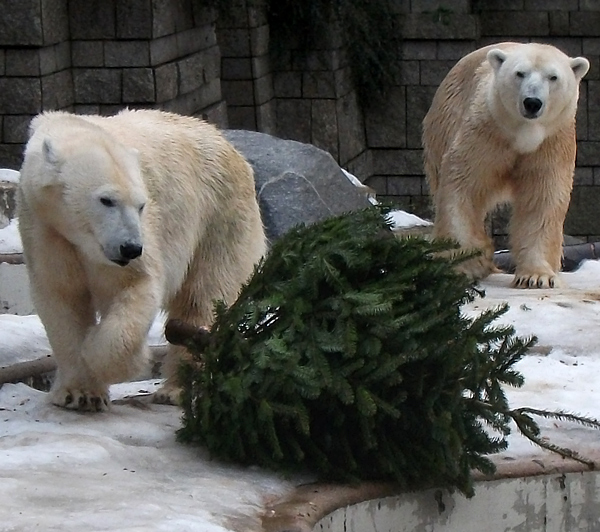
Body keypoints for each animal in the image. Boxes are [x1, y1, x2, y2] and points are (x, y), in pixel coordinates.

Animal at [17, 109, 266, 412]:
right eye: (106, 200)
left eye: (141, 204)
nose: (130, 248)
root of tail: (232, 150)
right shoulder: (46, 229)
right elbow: (62, 297)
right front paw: (80, 393)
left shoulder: (143, 235)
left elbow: (136, 285)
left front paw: (113, 359)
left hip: (218, 218)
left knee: (202, 298)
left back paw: (177, 389)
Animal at [422, 42, 592, 288]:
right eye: (519, 73)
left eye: (553, 77)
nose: (532, 102)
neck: (523, 134)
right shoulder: (486, 133)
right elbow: (464, 186)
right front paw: (463, 265)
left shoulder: (552, 143)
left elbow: (541, 198)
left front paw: (537, 276)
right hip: (443, 124)